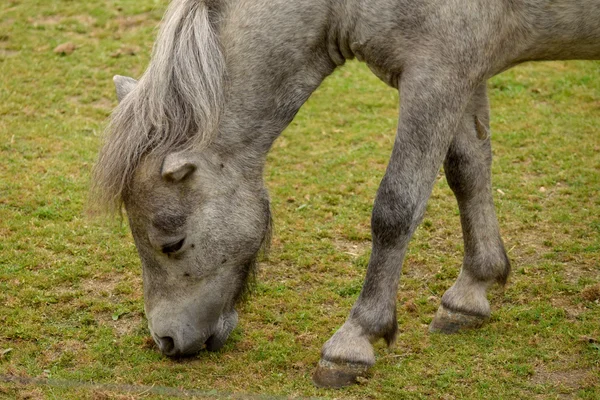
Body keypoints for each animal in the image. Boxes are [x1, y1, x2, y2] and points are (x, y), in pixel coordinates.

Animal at [92, 0, 600, 388]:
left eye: (171, 244)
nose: (165, 341)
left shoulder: (436, 76)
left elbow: (395, 209)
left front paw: (353, 343)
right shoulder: (463, 75)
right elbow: (468, 171)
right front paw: (471, 292)